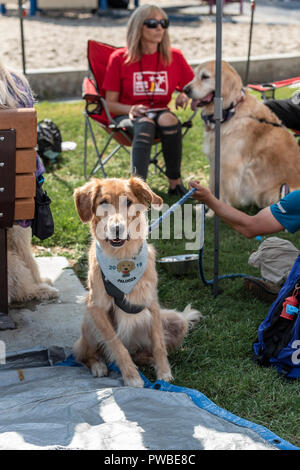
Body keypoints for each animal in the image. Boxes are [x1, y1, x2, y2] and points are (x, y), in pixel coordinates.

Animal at [72, 176, 199, 386]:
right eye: (103, 202)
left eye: (128, 202)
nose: (117, 229)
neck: (121, 256)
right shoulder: (95, 306)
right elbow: (116, 344)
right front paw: (131, 377)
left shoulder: (151, 303)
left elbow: (158, 344)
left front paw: (164, 373)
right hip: (88, 321)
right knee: (84, 354)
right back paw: (99, 365)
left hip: (177, 320)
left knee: (145, 351)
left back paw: (148, 360)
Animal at [184, 60, 300, 209]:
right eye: (194, 75)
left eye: (205, 77)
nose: (185, 90)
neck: (231, 110)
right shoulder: (215, 161)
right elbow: (212, 185)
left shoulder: (228, 166)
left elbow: (221, 193)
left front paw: (214, 210)